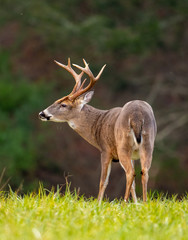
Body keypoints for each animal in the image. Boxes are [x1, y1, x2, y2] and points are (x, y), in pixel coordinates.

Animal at [38, 58, 157, 204]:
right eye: (56, 100)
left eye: (63, 105)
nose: (42, 113)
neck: (97, 125)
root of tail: (136, 115)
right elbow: (134, 185)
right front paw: (135, 204)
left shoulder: (105, 150)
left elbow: (103, 181)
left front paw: (99, 203)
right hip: (148, 143)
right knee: (144, 172)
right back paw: (145, 202)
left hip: (123, 144)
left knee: (130, 173)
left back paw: (124, 203)